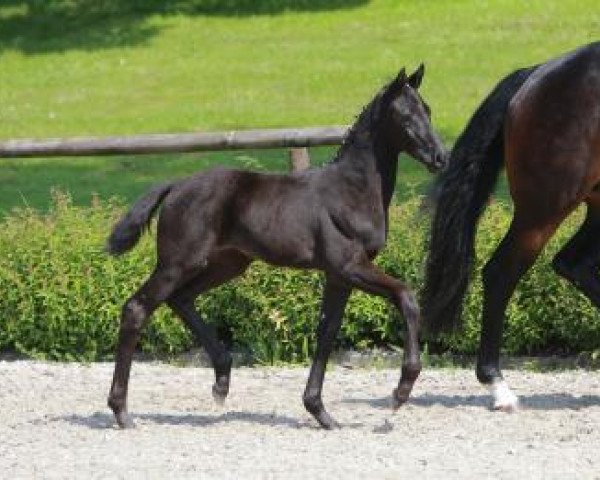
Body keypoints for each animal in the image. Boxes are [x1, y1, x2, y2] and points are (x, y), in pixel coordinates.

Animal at [105, 65, 448, 430]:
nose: (441, 158)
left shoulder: (338, 277)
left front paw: (320, 411)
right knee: (137, 308)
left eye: (428, 111)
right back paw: (122, 411)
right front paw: (401, 392)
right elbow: (406, 296)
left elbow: (327, 333)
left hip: (227, 263)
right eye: (406, 116)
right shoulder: (350, 266)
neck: (350, 192)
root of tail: (176, 185)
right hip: (179, 262)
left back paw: (222, 380)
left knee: (181, 299)